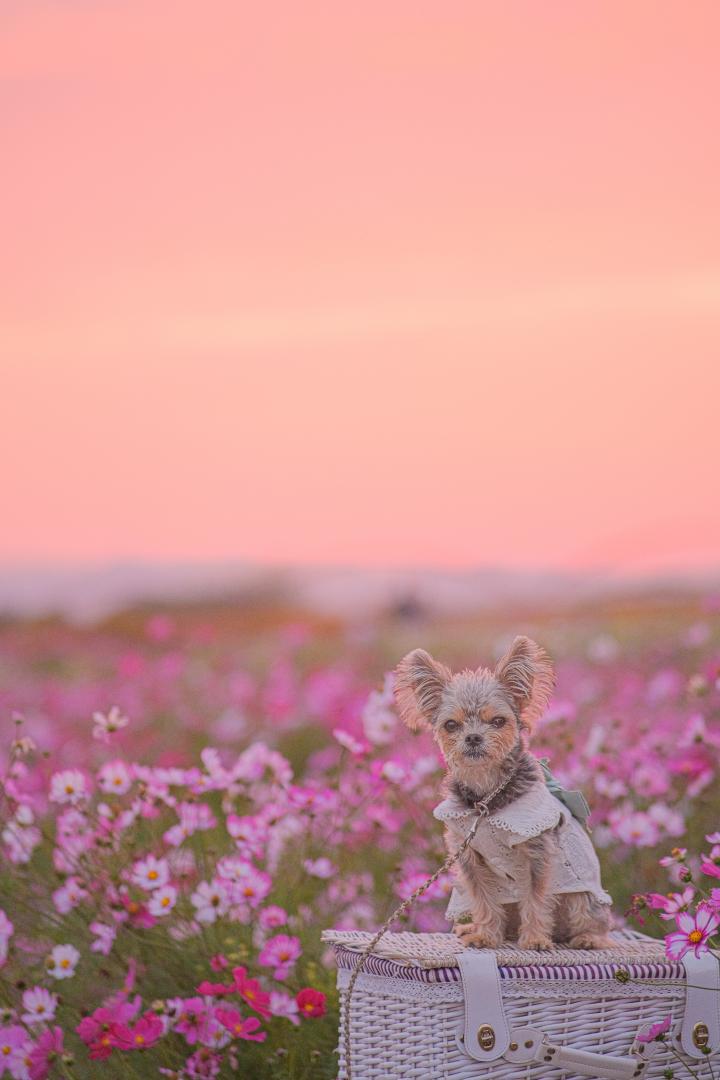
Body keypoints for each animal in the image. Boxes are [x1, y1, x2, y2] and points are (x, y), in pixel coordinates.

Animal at [395, 635, 613, 950]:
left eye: (498, 721)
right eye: (451, 724)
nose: (473, 737)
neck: (487, 797)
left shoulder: (537, 854)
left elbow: (536, 899)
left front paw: (535, 939)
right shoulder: (469, 856)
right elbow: (484, 899)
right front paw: (485, 935)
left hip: (581, 897)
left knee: (593, 919)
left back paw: (587, 938)